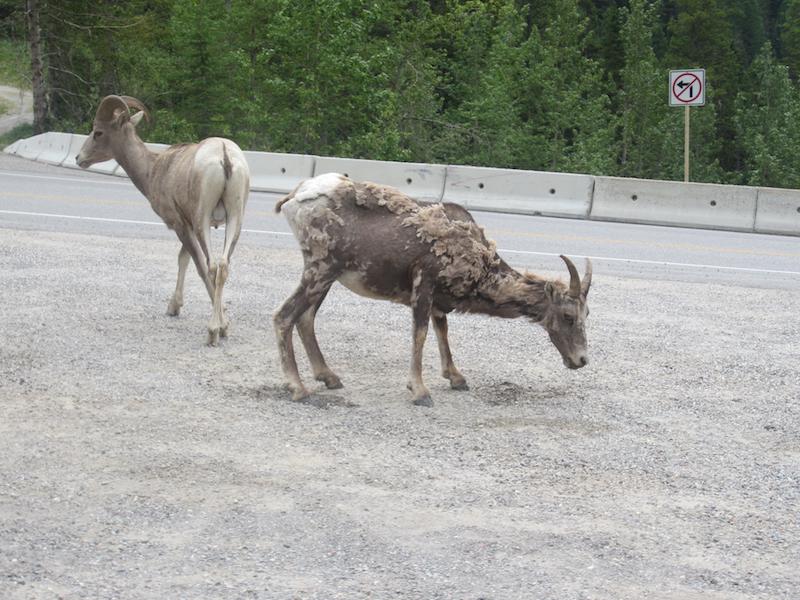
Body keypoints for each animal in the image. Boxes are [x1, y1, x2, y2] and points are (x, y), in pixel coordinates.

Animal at [76, 96, 250, 344]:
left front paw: (221, 325)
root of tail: (224, 155)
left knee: (212, 266)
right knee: (223, 266)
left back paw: (212, 331)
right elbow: (184, 259)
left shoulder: (180, 224)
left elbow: (195, 263)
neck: (153, 170)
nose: (79, 158)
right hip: (235, 219)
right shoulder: (186, 224)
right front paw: (175, 307)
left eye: (98, 132)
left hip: (203, 220)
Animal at [272, 175, 592, 408]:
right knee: (284, 316)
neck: (478, 268)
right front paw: (420, 391)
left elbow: (442, 332)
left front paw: (456, 378)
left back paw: (328, 377)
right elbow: (421, 335)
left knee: (305, 318)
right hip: (321, 270)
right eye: (568, 316)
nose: (581, 360)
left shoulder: (440, 301)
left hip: (328, 276)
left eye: (586, 313)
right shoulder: (423, 287)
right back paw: (298, 388)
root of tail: (292, 199)